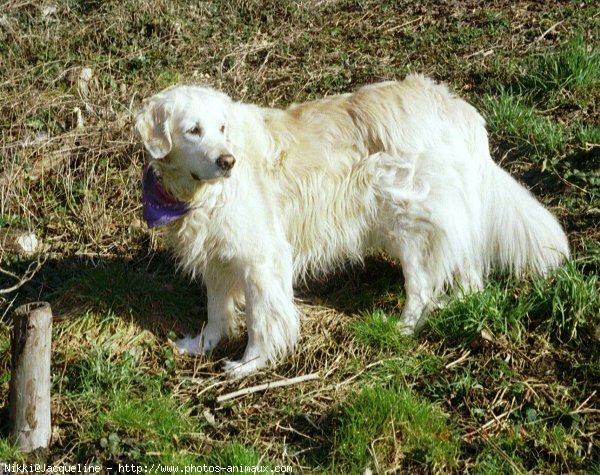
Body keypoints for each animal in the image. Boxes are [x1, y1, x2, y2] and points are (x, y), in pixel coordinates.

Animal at [137, 76, 572, 378]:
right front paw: (202, 344)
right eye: (193, 129)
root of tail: (454, 105)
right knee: (468, 274)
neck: (196, 194)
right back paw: (458, 307)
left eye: (222, 128)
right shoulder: (216, 256)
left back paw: (400, 330)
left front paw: (250, 364)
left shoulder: (263, 257)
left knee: (423, 288)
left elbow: (264, 318)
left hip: (412, 224)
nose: (228, 161)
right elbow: (216, 311)